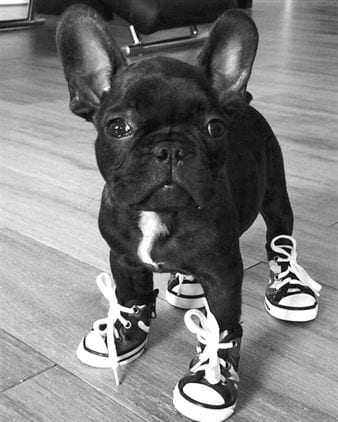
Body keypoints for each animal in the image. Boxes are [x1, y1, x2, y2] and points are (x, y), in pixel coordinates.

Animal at [56, 4, 298, 422]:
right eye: (117, 127)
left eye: (214, 128)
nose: (170, 148)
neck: (161, 213)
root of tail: (245, 102)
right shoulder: (124, 260)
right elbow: (132, 298)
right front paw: (123, 336)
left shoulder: (223, 274)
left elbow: (223, 326)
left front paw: (212, 378)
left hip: (275, 197)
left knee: (279, 239)